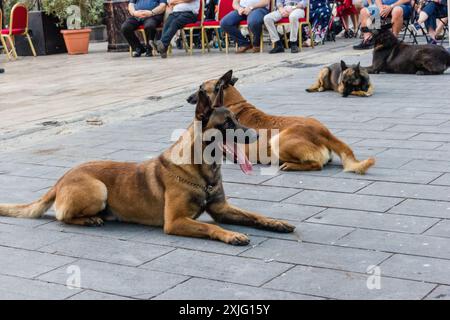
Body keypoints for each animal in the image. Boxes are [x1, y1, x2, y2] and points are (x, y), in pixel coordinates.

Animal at [0, 85, 296, 245]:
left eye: (237, 119)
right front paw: (232, 235)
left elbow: (253, 215)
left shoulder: (221, 209)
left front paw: (275, 222)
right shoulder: (176, 222)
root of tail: (60, 179)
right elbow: (212, 227)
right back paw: (90, 219)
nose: (255, 135)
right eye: (226, 124)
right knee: (63, 217)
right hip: (98, 189)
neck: (202, 172)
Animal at [187, 70, 376, 175]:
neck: (235, 105)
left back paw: (288, 165)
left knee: (315, 165)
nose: (187, 98)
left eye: (201, 88)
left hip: (278, 140)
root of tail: (324, 132)